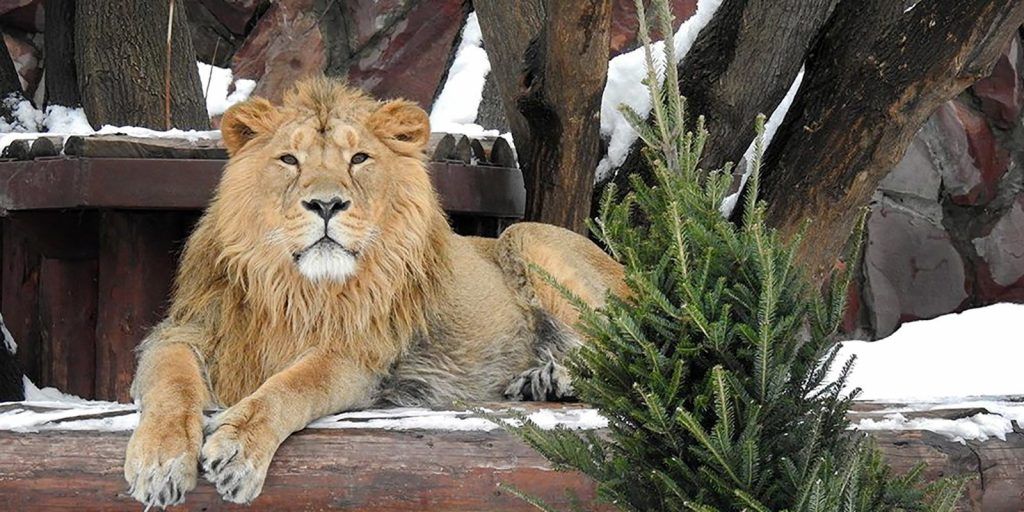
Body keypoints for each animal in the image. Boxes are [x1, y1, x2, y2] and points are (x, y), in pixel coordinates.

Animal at [125, 77, 622, 505]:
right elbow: (171, 383)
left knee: (628, 354)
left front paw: (238, 449)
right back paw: (539, 380)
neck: (297, 289)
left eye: (359, 159)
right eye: (290, 160)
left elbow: (292, 385)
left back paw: (553, 378)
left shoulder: (356, 355)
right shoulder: (185, 330)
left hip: (527, 237)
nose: (327, 204)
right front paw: (159, 462)